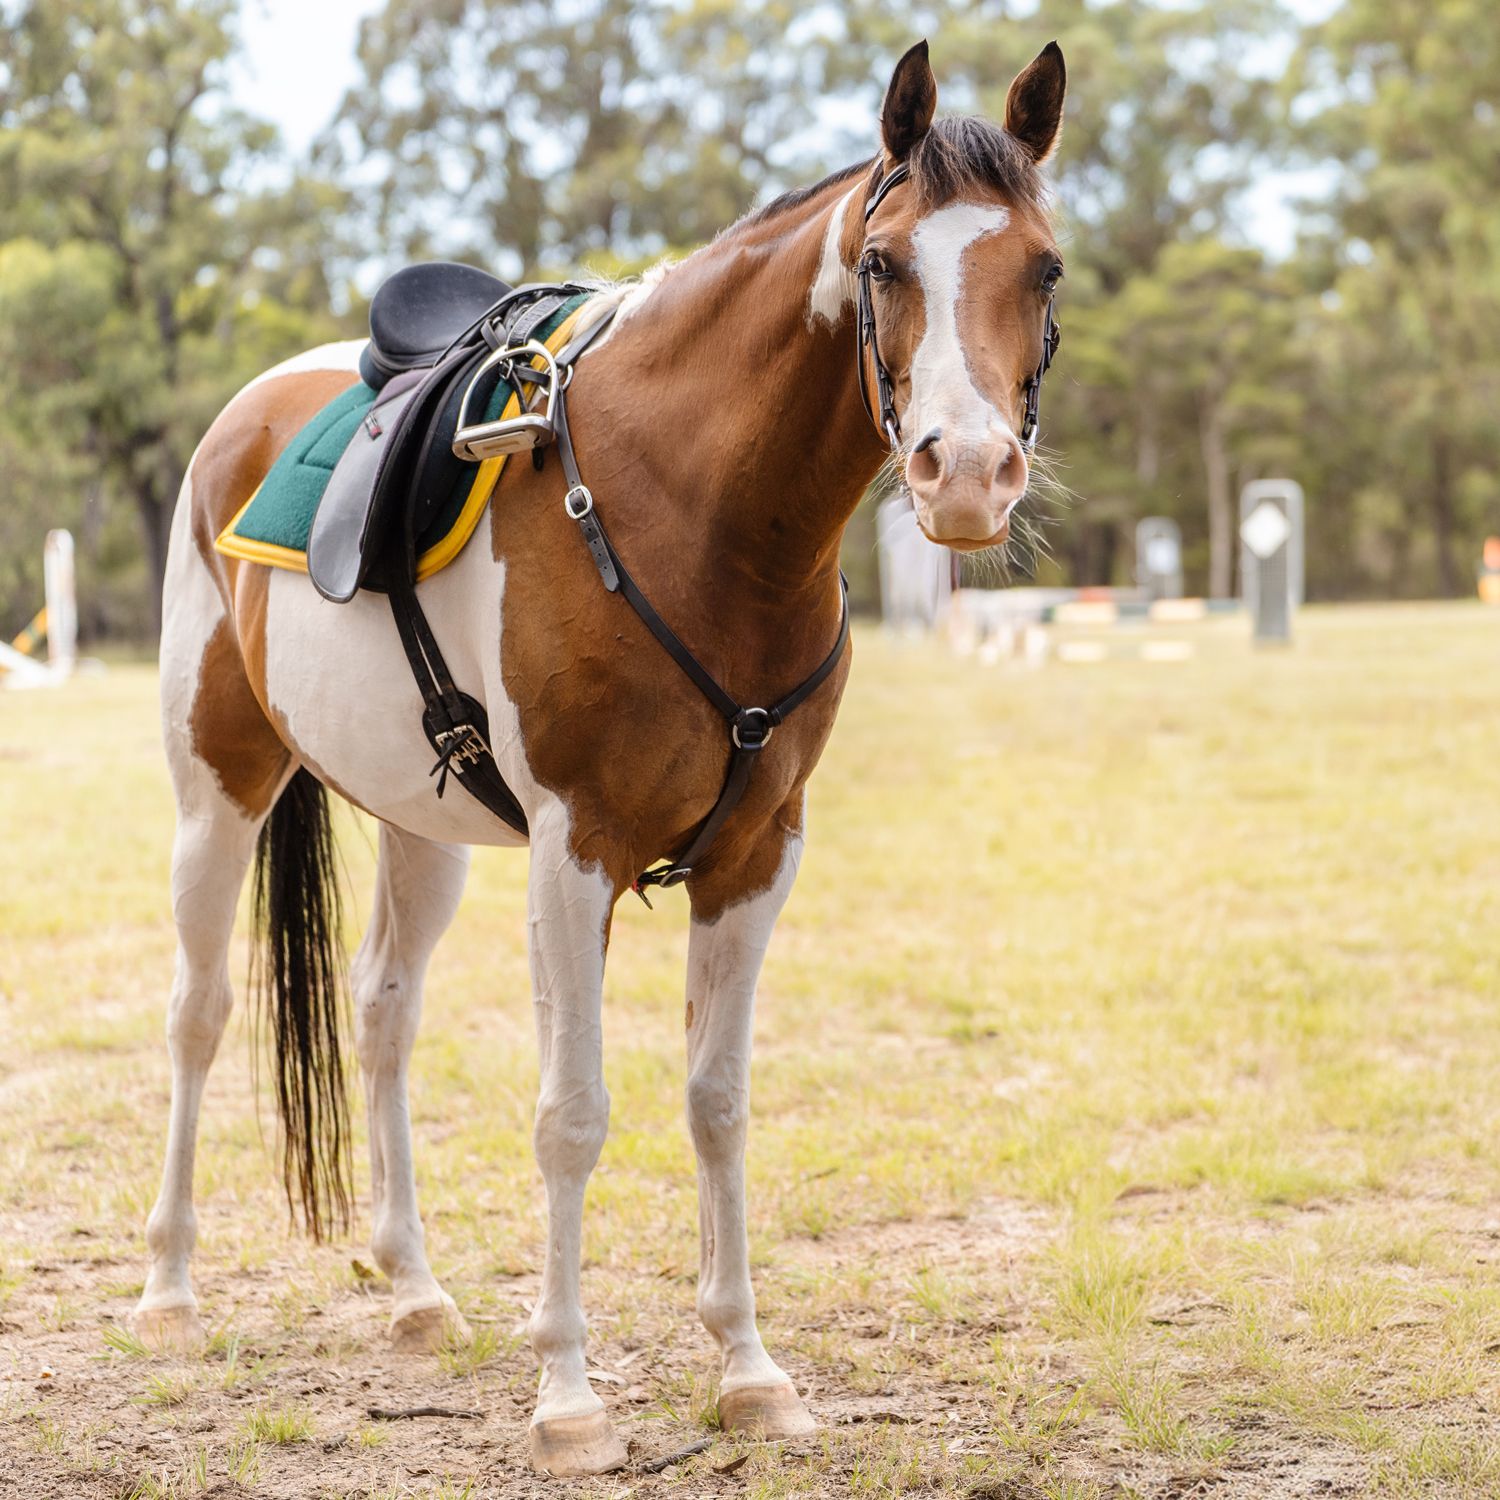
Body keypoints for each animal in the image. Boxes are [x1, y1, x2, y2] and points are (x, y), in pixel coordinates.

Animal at [134, 39, 1067, 1476]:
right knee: (197, 1014)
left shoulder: (756, 855)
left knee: (383, 1013)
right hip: (215, 790)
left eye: (1046, 268)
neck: (691, 505)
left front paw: (748, 1371)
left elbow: (716, 1103)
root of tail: (249, 413)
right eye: (882, 263)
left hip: (424, 830)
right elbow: (570, 1116)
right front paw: (568, 1399)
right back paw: (172, 1290)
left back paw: (415, 1291)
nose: (966, 473)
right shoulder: (575, 853)